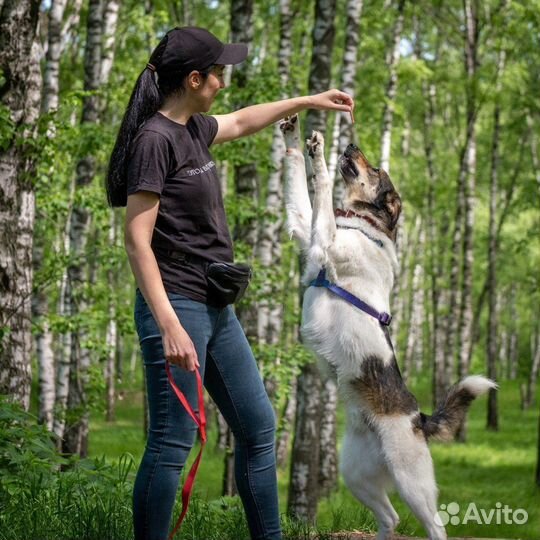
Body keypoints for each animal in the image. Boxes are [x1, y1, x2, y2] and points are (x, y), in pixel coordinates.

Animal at [280, 116, 496, 540]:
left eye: (376, 170)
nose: (350, 144)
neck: (362, 226)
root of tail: (418, 418)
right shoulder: (306, 235)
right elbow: (301, 186)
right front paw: (295, 137)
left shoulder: (323, 241)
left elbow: (321, 186)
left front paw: (320, 152)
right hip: (355, 477)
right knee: (390, 518)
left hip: (412, 483)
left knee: (435, 526)